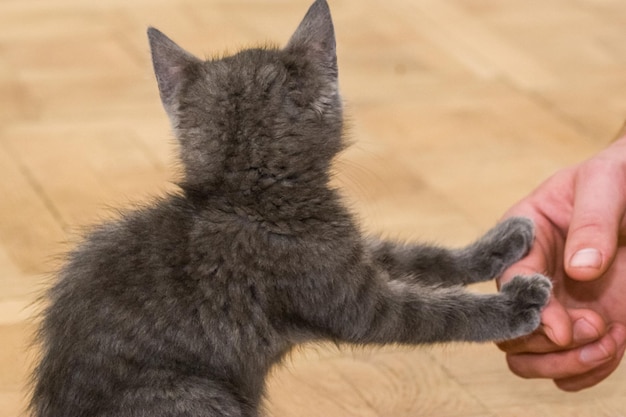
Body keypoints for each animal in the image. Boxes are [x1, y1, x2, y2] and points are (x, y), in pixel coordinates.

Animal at [29, 0, 548, 416]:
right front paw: (514, 304)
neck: (247, 200)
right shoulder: (352, 300)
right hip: (195, 396)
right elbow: (430, 313)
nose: (506, 247)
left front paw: (497, 245)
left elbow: (419, 258)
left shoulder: (347, 252)